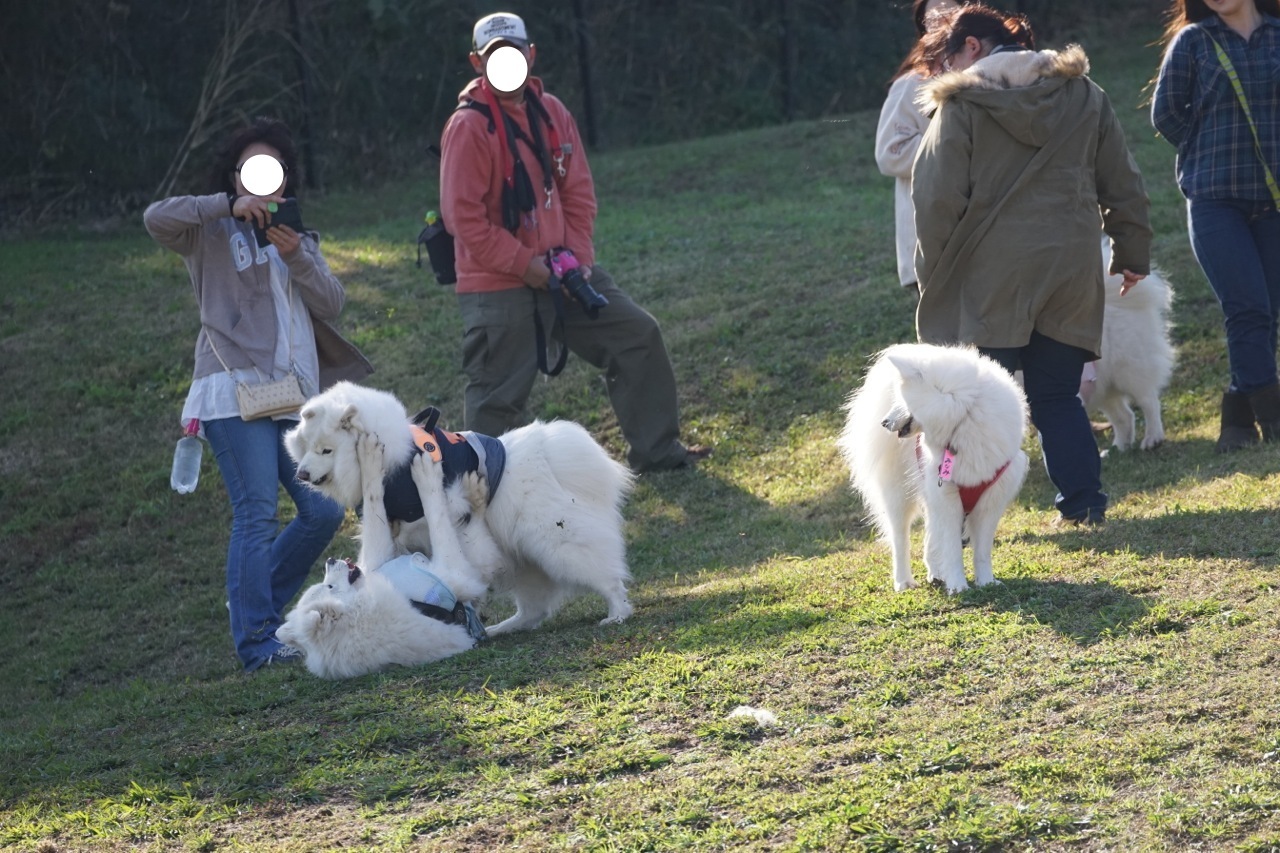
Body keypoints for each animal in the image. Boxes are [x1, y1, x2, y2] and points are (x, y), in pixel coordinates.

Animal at [285, 381, 634, 635]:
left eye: (326, 450)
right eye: (306, 447)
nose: (301, 474)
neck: (398, 463)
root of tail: (553, 451)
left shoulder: (450, 514)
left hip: (556, 540)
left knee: (606, 577)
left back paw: (617, 613)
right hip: (528, 561)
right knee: (534, 610)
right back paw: (499, 629)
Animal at [839, 343, 1029, 594]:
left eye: (901, 399)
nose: (884, 422)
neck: (963, 420)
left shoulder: (990, 500)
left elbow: (982, 551)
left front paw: (987, 581)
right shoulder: (948, 498)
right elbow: (953, 549)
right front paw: (958, 585)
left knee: (931, 534)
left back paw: (936, 573)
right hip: (899, 495)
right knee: (900, 539)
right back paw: (903, 581)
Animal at [1090, 239, 1177, 448]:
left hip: (1129, 371)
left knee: (1149, 402)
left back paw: (1152, 438)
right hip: (1103, 384)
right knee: (1125, 416)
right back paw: (1121, 448)